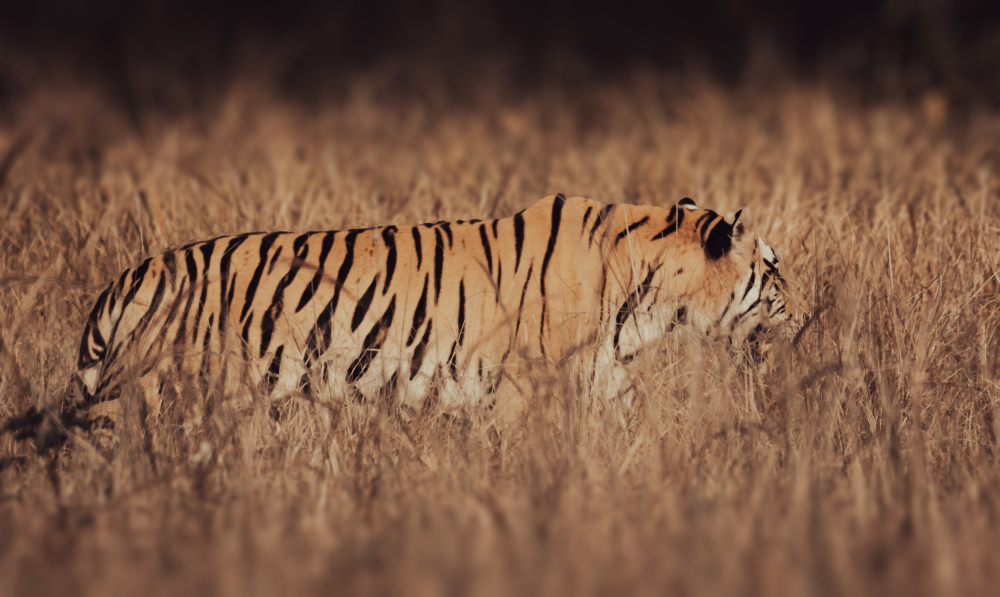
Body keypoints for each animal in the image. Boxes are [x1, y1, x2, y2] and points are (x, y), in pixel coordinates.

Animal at [70, 194, 799, 423]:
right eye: (773, 270)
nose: (803, 313)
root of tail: (128, 277)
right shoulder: (524, 385)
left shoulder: (599, 374)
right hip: (174, 395)